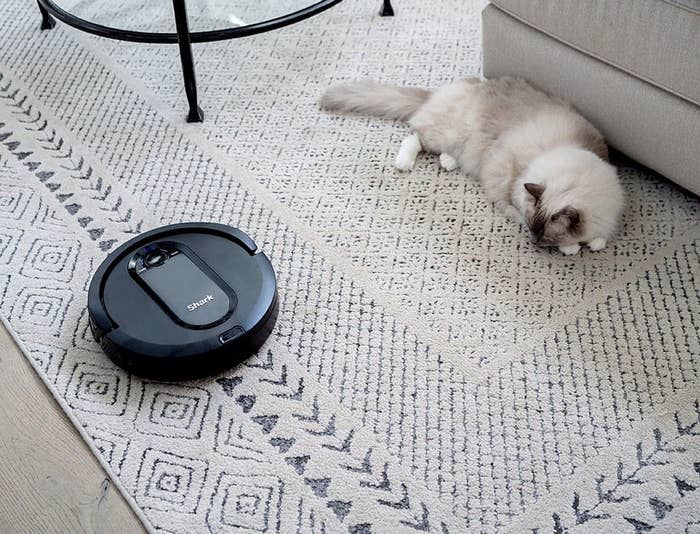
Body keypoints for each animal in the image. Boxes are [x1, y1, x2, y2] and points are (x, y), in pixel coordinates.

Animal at [322, 76, 624, 258]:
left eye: (543, 234)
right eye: (534, 229)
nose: (533, 242)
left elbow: (599, 237)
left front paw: (594, 243)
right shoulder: (510, 183)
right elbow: (516, 208)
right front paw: (572, 247)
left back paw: (448, 162)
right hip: (447, 135)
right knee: (414, 136)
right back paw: (404, 164)